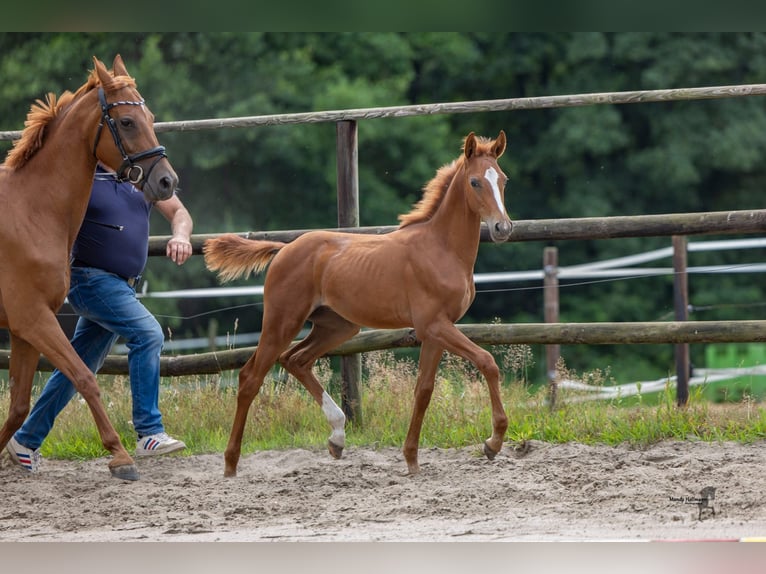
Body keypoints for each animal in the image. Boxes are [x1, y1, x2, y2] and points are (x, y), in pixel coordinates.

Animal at [0, 55, 178, 481]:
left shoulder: (23, 328)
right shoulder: (33, 318)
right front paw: (120, 457)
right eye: (127, 122)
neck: (31, 210)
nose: (167, 181)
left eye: (150, 116)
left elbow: (18, 406)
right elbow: (84, 377)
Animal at [204, 130, 512, 477]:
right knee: (250, 378)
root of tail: (284, 248)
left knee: (295, 360)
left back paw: (337, 437)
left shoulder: (436, 331)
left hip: (338, 326)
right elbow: (487, 361)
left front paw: (411, 458)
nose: (502, 228)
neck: (441, 249)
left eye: (503, 179)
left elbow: (423, 390)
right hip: (282, 321)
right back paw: (231, 464)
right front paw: (493, 442)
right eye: (475, 182)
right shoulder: (433, 325)